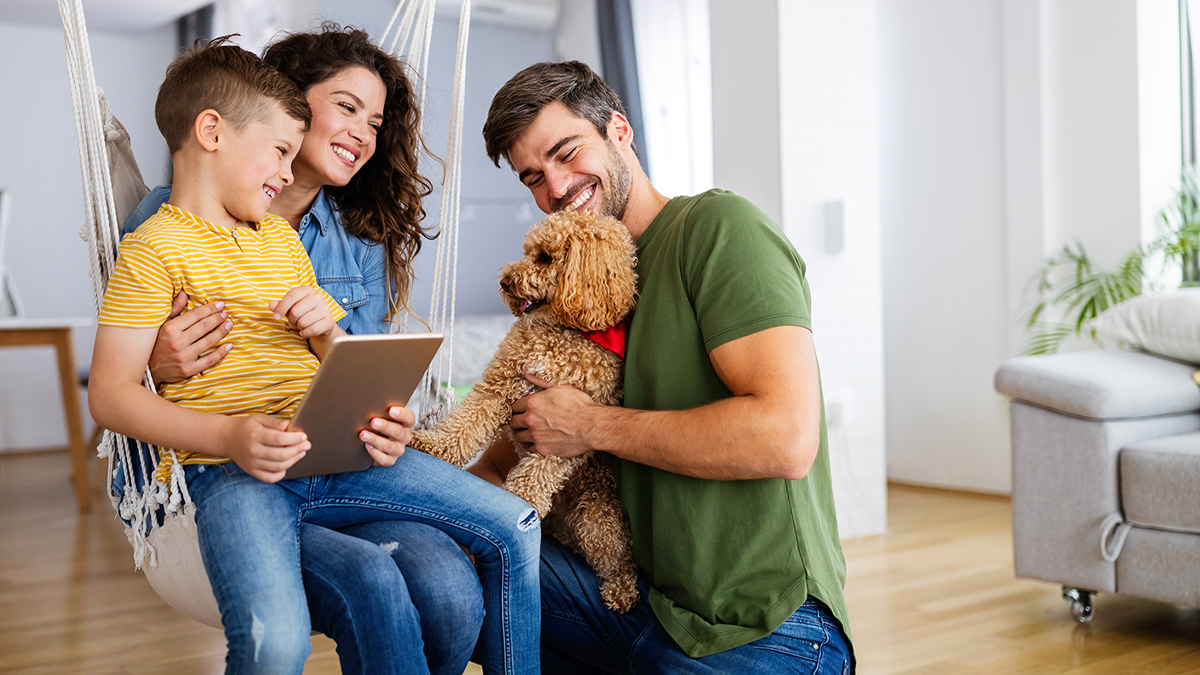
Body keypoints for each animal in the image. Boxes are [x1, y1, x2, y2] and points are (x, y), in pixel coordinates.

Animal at [410, 208, 643, 610]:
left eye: (546, 257)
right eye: (528, 250)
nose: (505, 282)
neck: (562, 331)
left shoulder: (565, 431)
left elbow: (533, 478)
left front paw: (517, 504)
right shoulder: (499, 387)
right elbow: (464, 426)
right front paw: (432, 445)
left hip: (598, 519)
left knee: (617, 558)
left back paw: (622, 591)